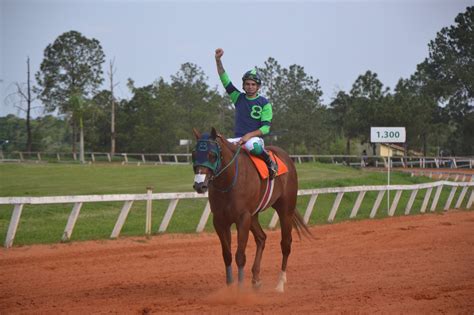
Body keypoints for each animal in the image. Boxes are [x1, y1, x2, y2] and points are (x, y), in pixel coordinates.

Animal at [193, 127, 312, 292]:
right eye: (194, 154)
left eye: (212, 155)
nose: (200, 185)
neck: (229, 181)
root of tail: (286, 157)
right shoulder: (220, 220)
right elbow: (227, 255)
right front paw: (230, 287)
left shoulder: (242, 218)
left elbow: (240, 256)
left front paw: (240, 289)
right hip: (254, 215)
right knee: (261, 238)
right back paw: (256, 279)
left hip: (285, 210)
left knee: (286, 243)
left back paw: (280, 283)